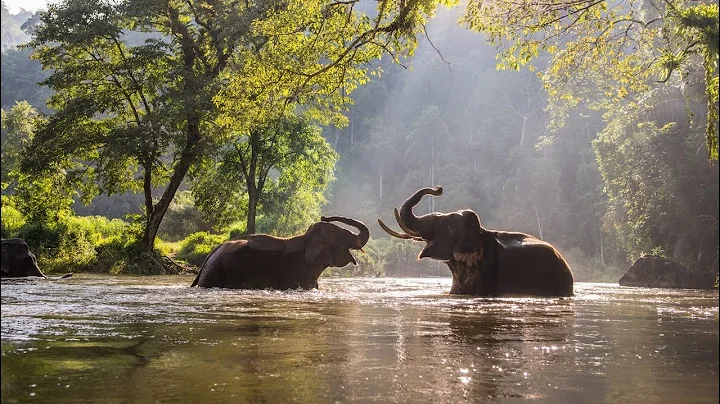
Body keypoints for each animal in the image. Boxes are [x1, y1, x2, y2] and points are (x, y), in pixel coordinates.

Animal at [190, 216, 368, 288]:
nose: (324, 216)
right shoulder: (298, 273)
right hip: (214, 273)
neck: (306, 238)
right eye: (343, 236)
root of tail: (210, 255)